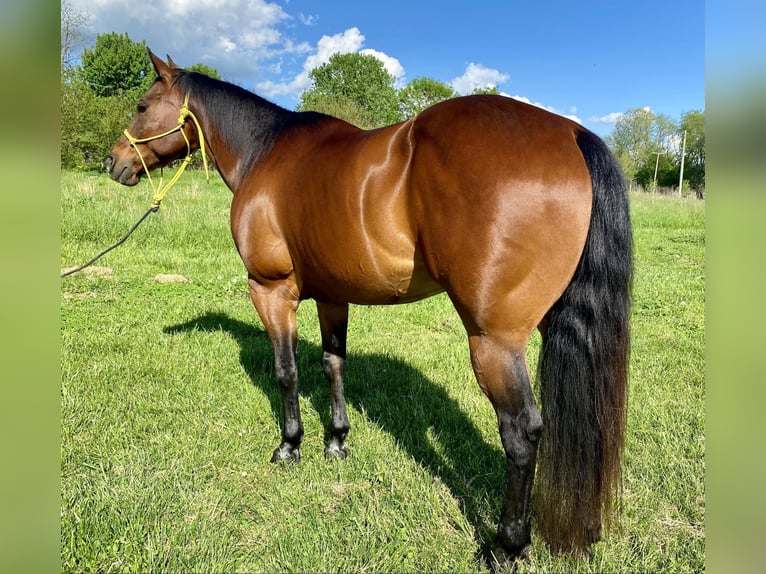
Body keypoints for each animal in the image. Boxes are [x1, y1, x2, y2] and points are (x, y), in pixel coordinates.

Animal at [107, 50, 632, 564]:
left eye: (141, 105)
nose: (114, 162)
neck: (265, 152)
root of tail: (569, 132)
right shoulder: (333, 296)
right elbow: (333, 364)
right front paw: (336, 441)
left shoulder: (272, 290)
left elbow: (286, 370)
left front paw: (290, 446)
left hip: (494, 342)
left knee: (522, 433)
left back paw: (506, 547)